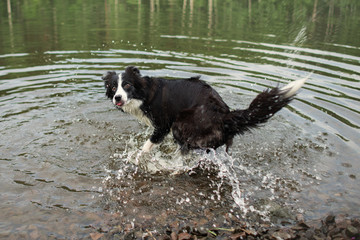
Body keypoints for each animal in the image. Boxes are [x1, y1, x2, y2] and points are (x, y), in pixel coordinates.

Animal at [102, 66, 308, 154]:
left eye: (127, 85)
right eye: (113, 87)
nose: (117, 98)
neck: (144, 94)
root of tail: (226, 115)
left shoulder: (163, 125)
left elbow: (146, 146)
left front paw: (136, 158)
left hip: (182, 123)